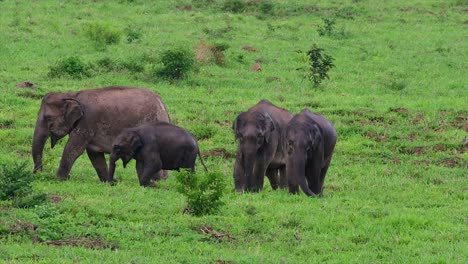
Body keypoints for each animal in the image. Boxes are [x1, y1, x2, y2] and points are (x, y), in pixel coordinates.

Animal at [31, 85, 170, 183]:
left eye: (48, 118)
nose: (39, 173)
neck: (72, 95)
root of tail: (162, 103)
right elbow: (94, 155)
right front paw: (109, 182)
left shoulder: (87, 121)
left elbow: (74, 149)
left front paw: (59, 179)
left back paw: (156, 181)